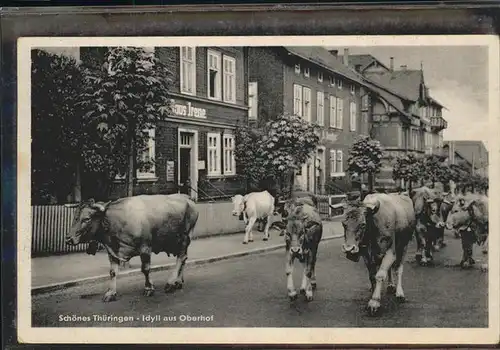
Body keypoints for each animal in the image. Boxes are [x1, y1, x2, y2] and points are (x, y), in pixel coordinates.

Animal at [64, 193, 199, 302]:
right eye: (74, 217)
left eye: (86, 219)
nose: (68, 239)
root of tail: (187, 197)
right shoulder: (112, 252)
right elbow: (113, 272)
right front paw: (110, 293)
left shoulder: (145, 248)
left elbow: (145, 269)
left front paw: (149, 288)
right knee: (183, 259)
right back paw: (178, 282)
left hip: (185, 237)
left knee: (180, 259)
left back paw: (171, 283)